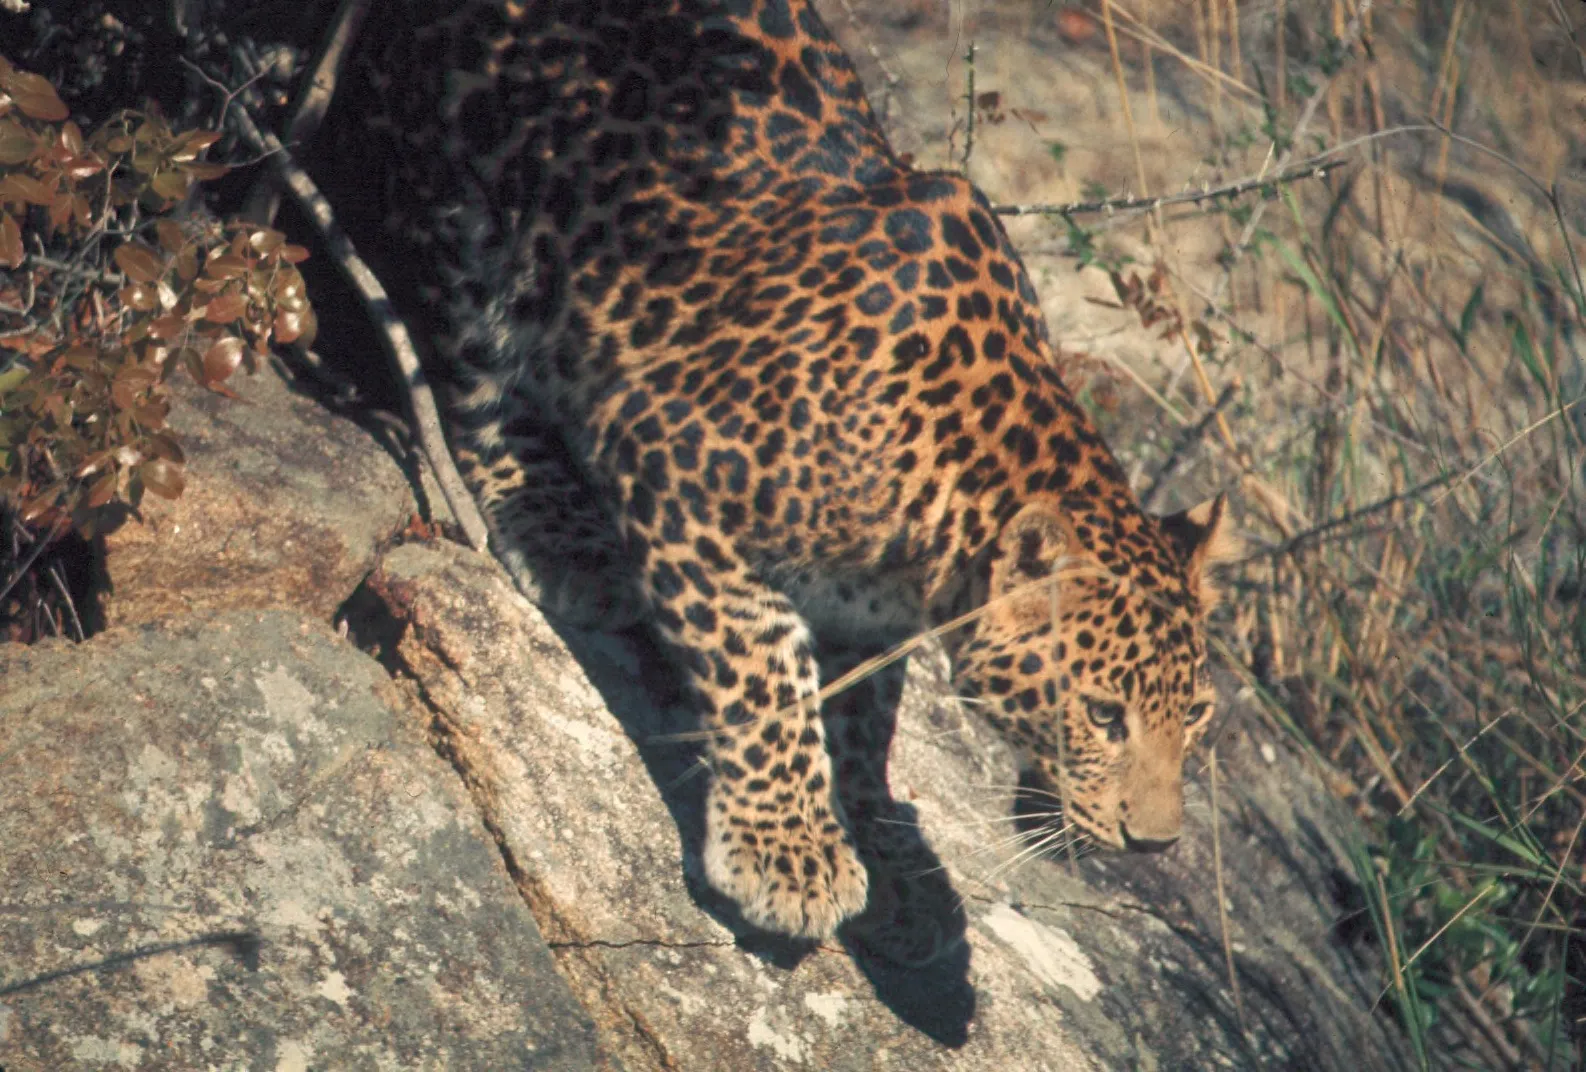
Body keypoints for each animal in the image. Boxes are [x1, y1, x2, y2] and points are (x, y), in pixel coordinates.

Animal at [320, 0, 1236, 954]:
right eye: (1103, 715)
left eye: (1197, 716)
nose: (1155, 842)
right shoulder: (677, 468)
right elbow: (764, 670)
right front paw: (789, 850)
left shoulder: (870, 616)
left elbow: (863, 716)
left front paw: (874, 839)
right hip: (473, 204)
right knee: (472, 372)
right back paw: (559, 529)